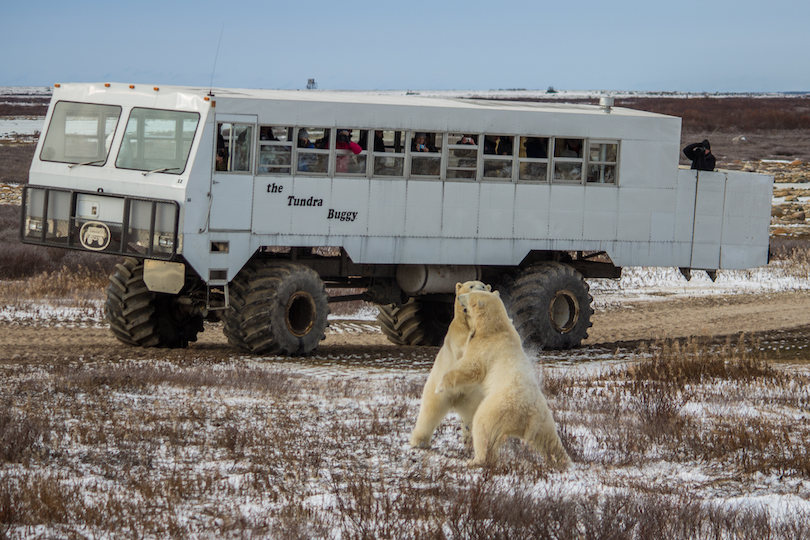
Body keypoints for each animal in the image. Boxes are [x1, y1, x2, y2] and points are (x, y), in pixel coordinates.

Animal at [408, 280, 490, 450]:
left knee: (472, 417)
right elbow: (464, 349)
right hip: (438, 389)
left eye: (484, 286)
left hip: (474, 397)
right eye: (471, 286)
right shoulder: (457, 335)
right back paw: (419, 441)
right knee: (430, 411)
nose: (479, 292)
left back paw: (471, 442)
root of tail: (457, 399)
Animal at [436, 292, 568, 468]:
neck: (495, 329)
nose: (459, 296)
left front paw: (440, 386)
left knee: (482, 428)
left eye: (469, 296)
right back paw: (563, 461)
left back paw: (475, 460)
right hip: (543, 419)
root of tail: (527, 412)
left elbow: (471, 368)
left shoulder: (485, 348)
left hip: (496, 409)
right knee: (549, 440)